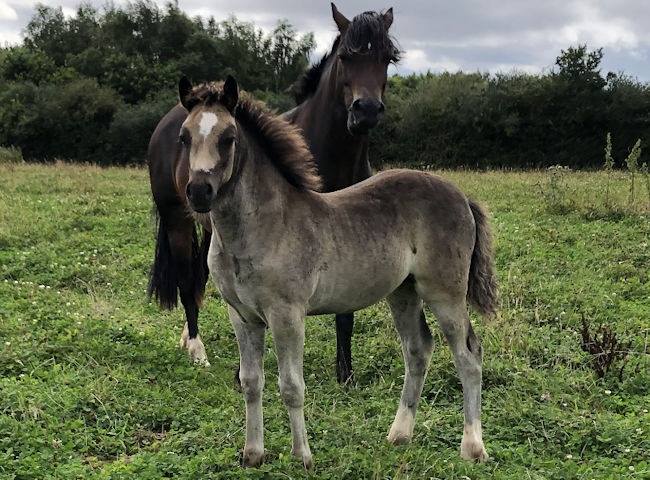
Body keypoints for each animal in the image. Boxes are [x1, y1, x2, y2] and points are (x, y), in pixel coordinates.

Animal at [148, 3, 400, 378]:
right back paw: (196, 349)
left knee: (198, 279)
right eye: (345, 56)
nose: (366, 111)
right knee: (184, 279)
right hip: (177, 219)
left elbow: (345, 312)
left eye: (387, 58)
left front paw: (345, 374)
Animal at [177, 78, 496, 468]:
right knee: (418, 349)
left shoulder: (287, 315)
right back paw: (399, 435)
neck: (259, 228)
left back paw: (473, 447)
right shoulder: (242, 316)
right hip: (403, 292)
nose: (198, 192)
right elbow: (252, 382)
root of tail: (462, 197)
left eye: (228, 138)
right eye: (184, 136)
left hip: (444, 293)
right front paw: (252, 454)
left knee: (468, 355)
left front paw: (302, 456)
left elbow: (291, 386)